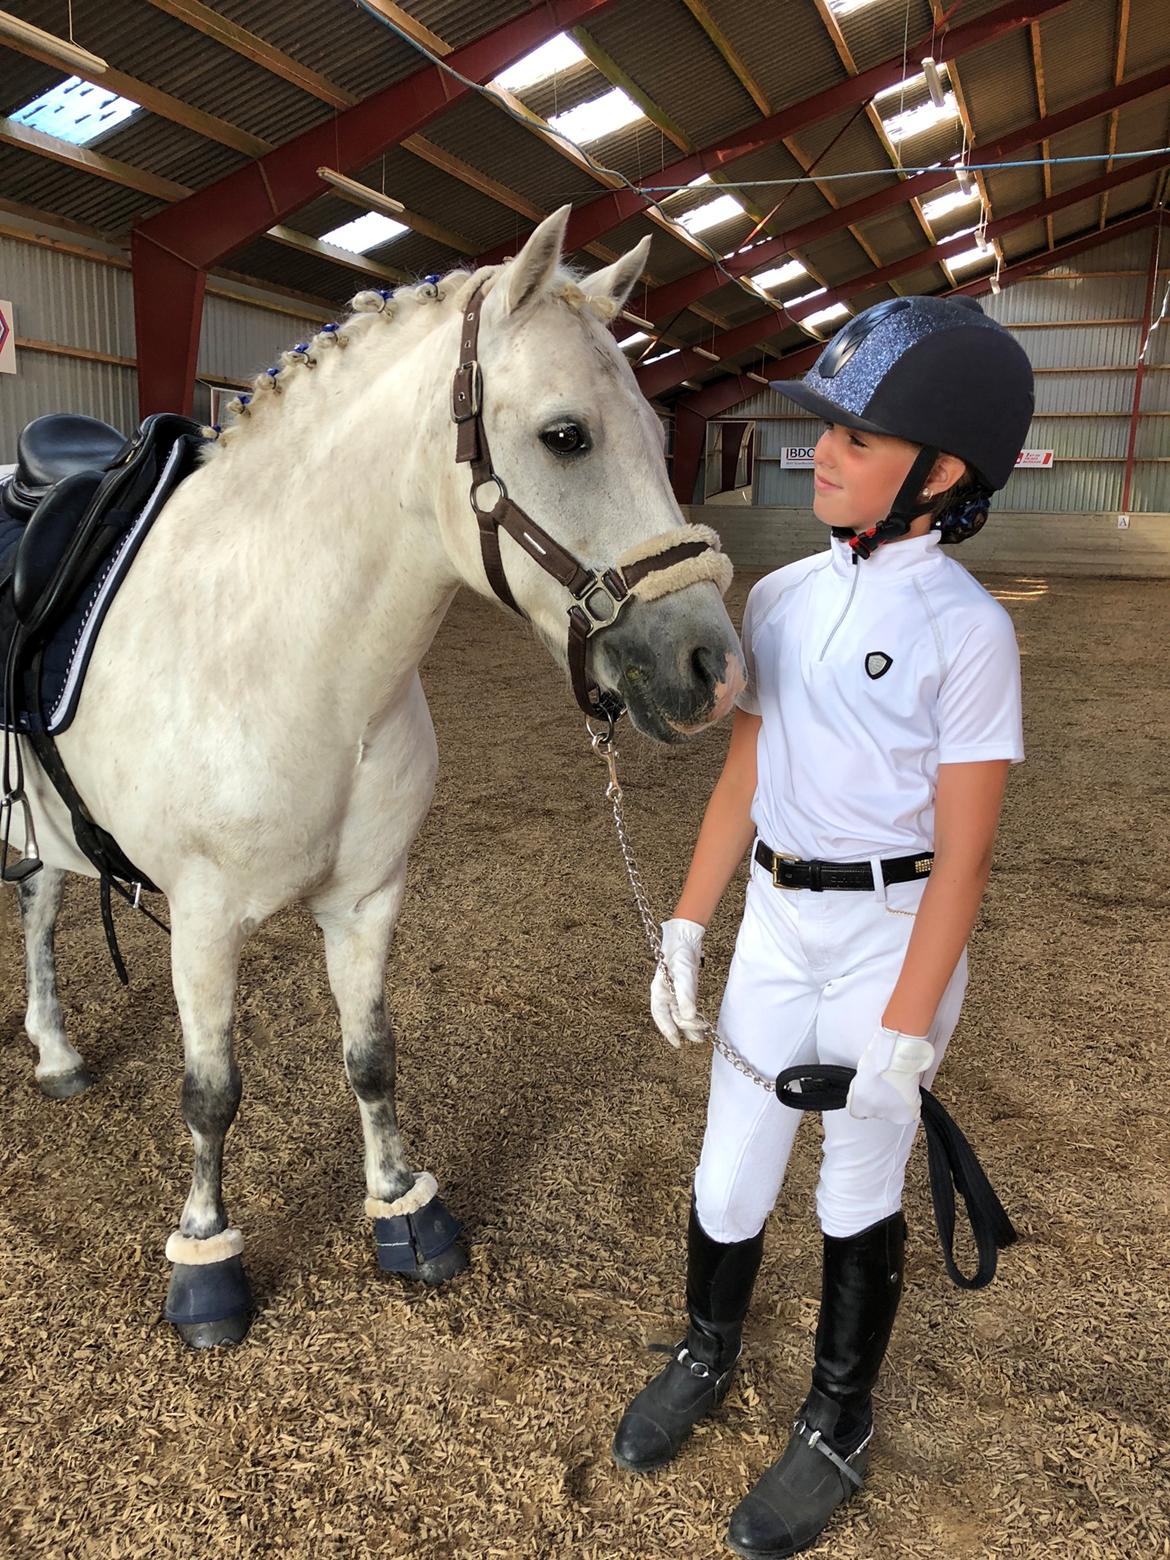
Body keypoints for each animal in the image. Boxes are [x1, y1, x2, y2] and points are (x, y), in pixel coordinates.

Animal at [4, 206, 745, 1346]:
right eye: (565, 435)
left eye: (667, 442)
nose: (709, 666)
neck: (286, 657)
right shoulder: (204, 920)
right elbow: (210, 1092)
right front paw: (206, 1260)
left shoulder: (365, 900)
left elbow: (372, 1056)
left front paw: (402, 1208)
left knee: (41, 902)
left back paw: (55, 1054)